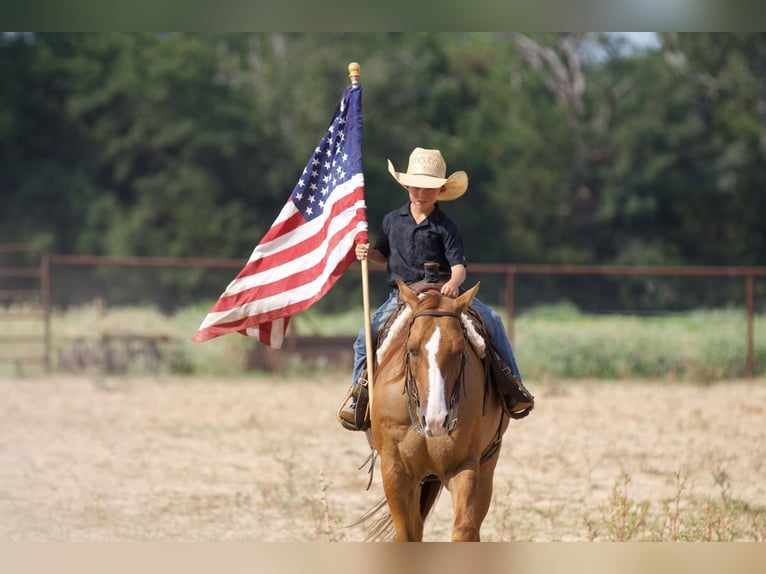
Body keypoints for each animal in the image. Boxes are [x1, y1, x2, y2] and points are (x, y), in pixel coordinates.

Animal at [360, 282, 510, 544]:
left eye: (460, 351)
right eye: (412, 350)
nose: (437, 420)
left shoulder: (464, 466)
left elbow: (464, 529)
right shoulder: (395, 471)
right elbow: (406, 533)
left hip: (488, 463)